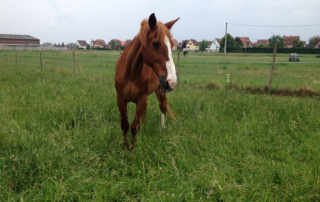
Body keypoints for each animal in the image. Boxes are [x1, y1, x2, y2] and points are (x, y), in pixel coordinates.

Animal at [115, 13, 180, 150]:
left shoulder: (141, 98)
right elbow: (125, 125)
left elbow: (134, 126)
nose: (172, 81)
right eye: (155, 44)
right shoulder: (121, 99)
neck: (131, 72)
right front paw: (124, 148)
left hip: (161, 90)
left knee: (163, 106)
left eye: (172, 45)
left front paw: (132, 149)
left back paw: (162, 128)